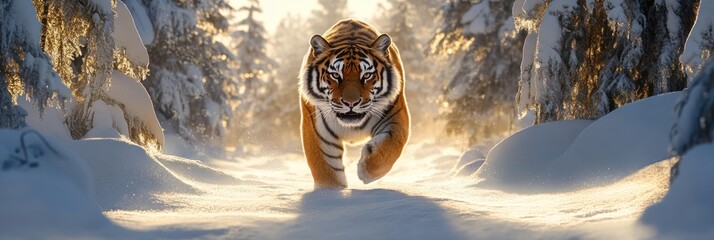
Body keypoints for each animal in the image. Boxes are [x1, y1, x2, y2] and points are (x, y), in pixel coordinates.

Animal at [294, 19, 408, 188]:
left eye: (367, 75)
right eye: (335, 75)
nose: (351, 102)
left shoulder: (395, 116)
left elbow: (392, 145)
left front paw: (366, 170)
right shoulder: (319, 133)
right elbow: (327, 170)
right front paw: (329, 192)